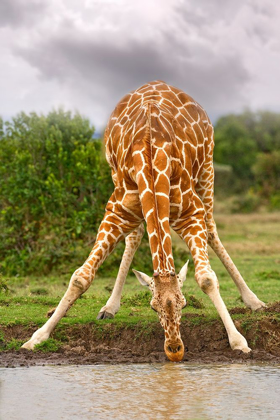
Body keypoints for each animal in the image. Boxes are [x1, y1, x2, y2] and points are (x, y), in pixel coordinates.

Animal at [21, 81, 264, 360]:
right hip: (115, 174)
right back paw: (109, 307)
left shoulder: (191, 214)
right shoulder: (117, 212)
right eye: (152, 307)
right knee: (135, 237)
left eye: (184, 304)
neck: (151, 156)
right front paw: (36, 338)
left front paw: (239, 341)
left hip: (208, 167)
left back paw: (254, 300)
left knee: (212, 230)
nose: (175, 351)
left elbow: (206, 278)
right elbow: (81, 277)